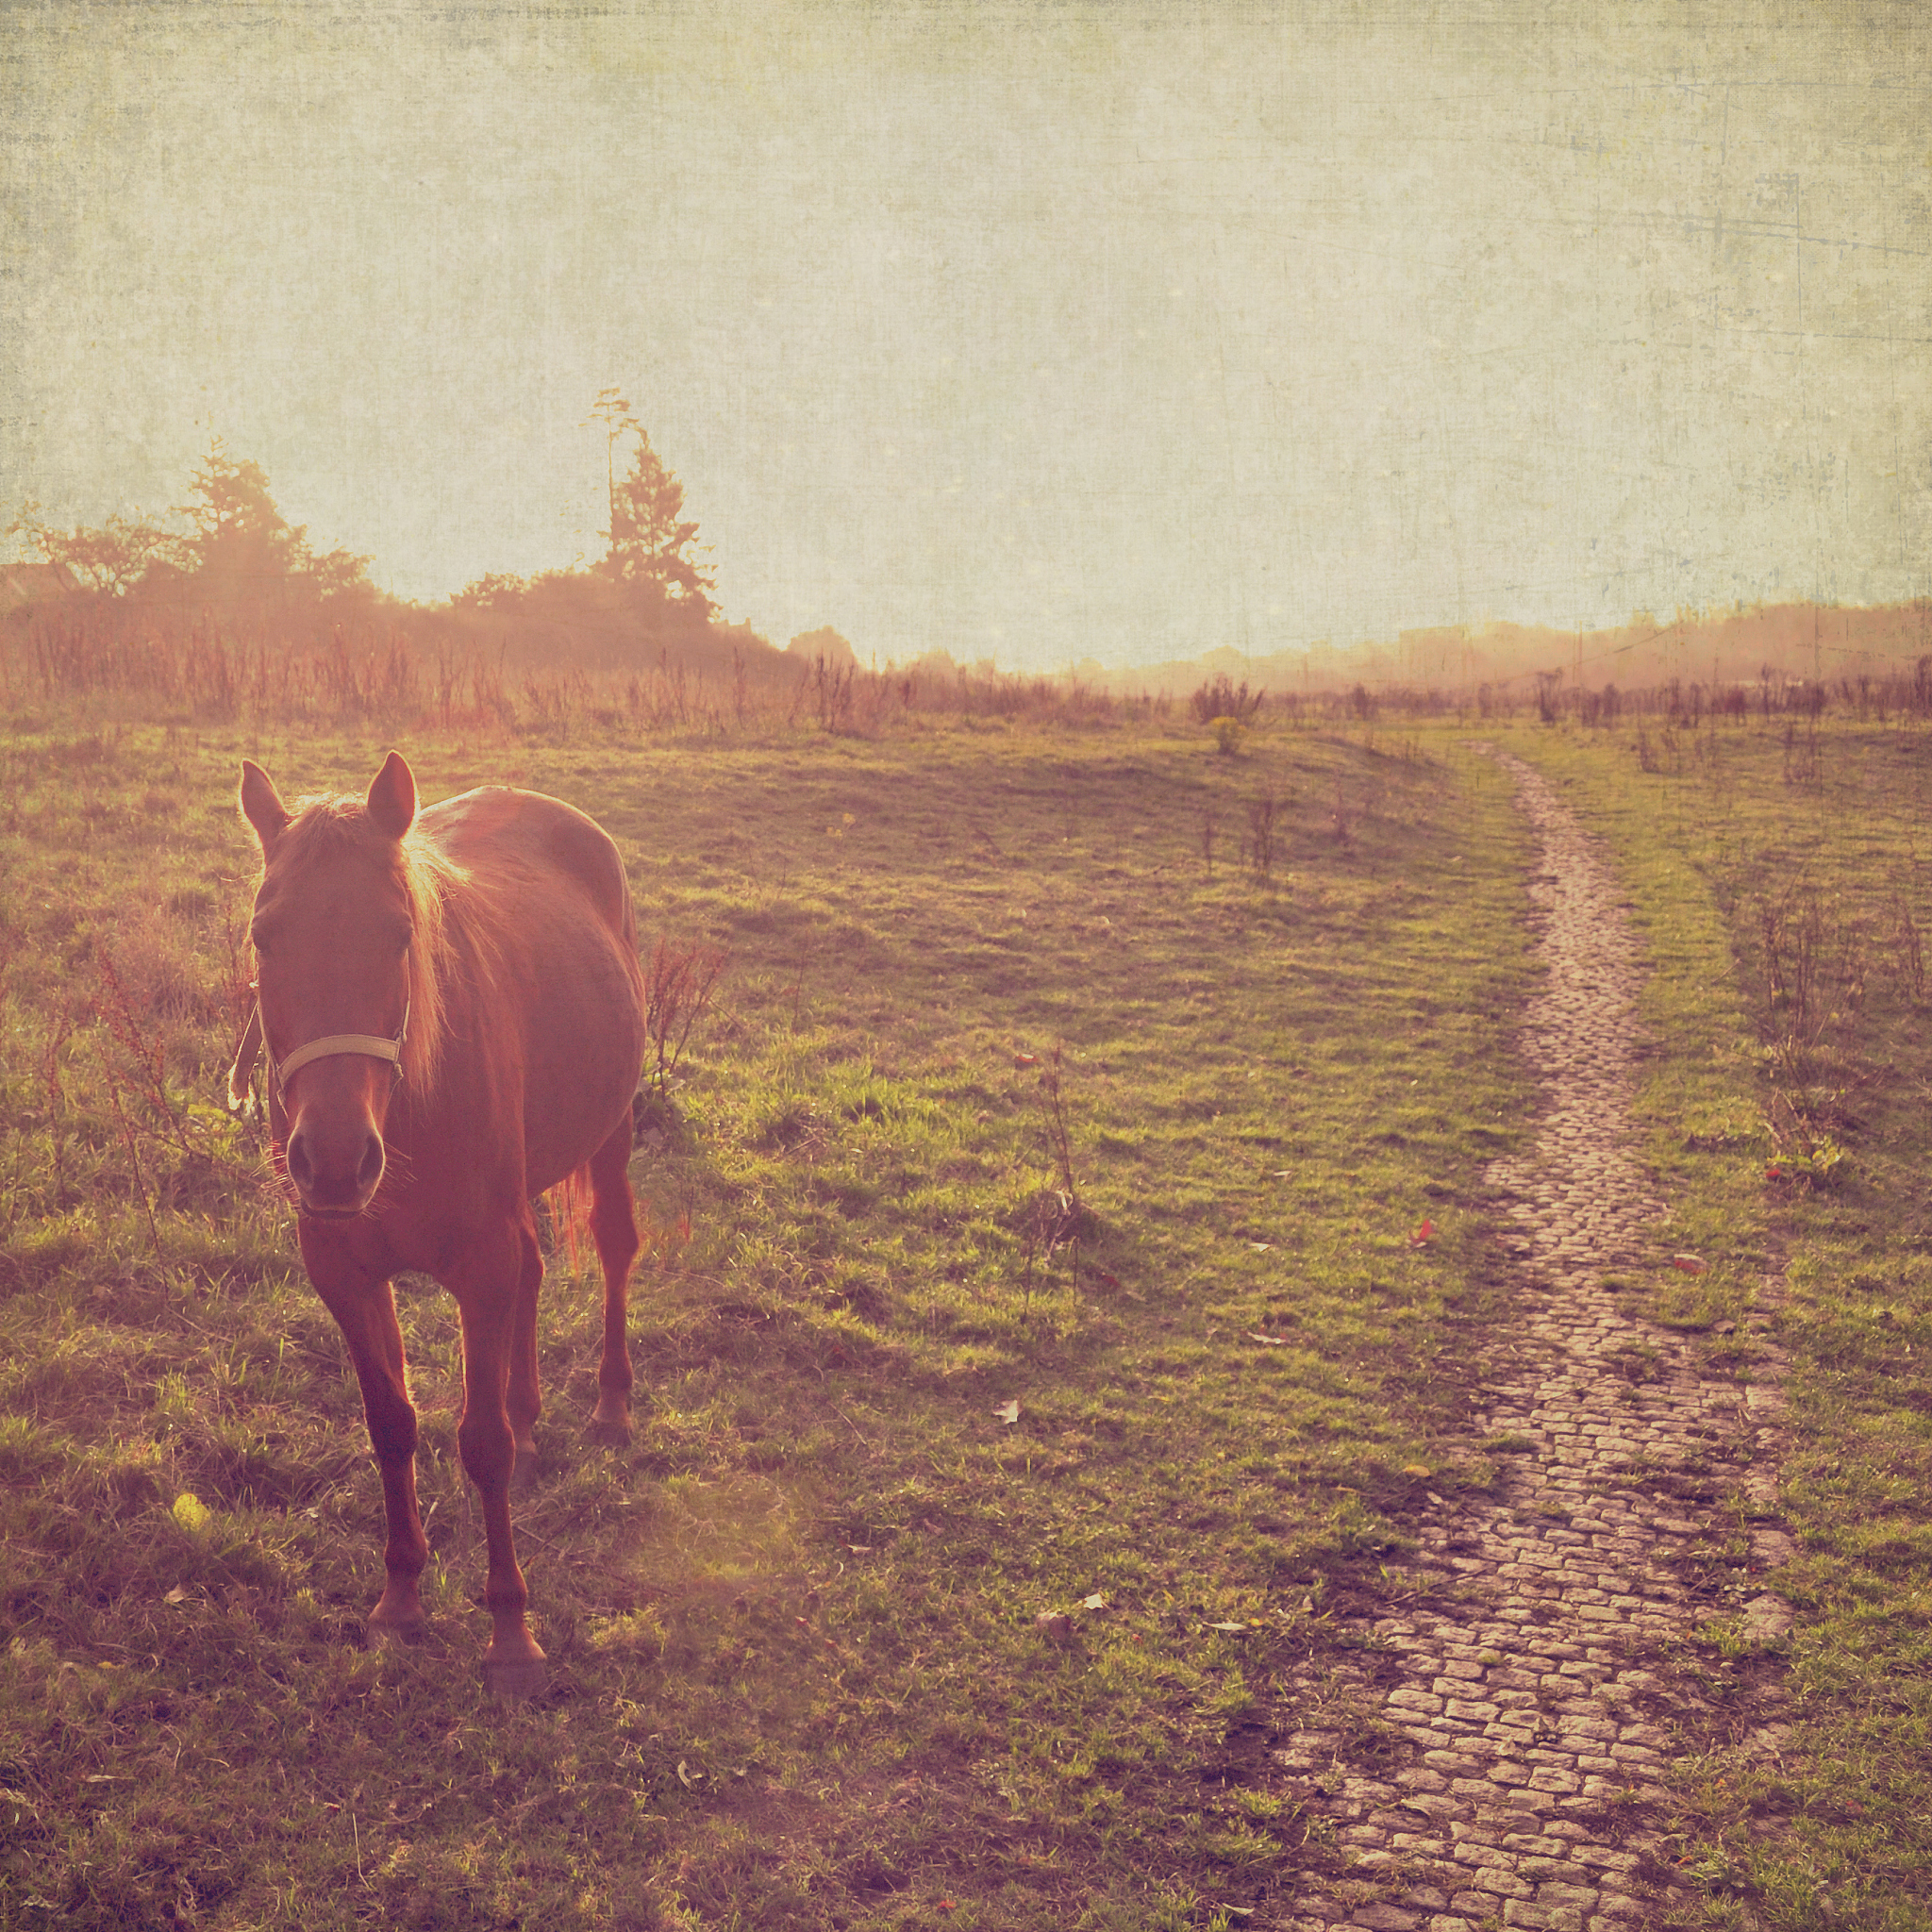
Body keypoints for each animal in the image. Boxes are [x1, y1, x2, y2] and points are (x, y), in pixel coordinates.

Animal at [233, 750, 647, 1700]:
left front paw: (510, 1631)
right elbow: (393, 1424)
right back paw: (533, 1418)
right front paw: (401, 1596)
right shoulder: (345, 1271)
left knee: (613, 1247)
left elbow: (479, 1440)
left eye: (397, 935)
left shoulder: (478, 1268)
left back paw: (609, 1401)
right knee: (537, 1272)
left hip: (610, 1131)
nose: (334, 1160)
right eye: (265, 936)